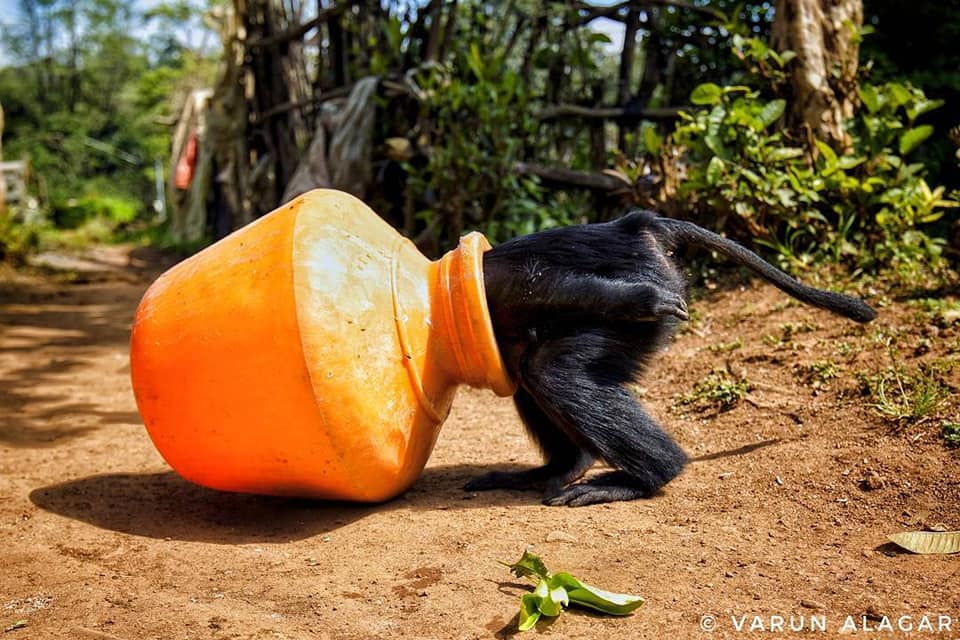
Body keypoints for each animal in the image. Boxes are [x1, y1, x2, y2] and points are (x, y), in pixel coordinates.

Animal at [472, 212, 876, 508]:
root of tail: (638, 226)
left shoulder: (496, 282)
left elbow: (535, 282)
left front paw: (643, 300)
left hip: (644, 292)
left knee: (551, 371)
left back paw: (644, 477)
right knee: (532, 372)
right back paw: (564, 467)